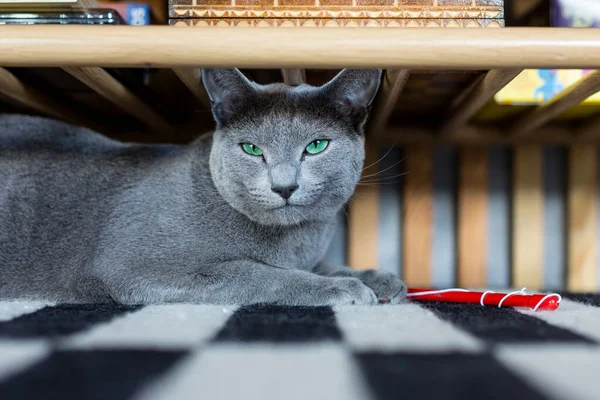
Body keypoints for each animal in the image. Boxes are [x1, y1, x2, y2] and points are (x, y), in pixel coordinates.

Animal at [0, 69, 408, 306]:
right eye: (251, 149)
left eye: (316, 146)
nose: (284, 186)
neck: (295, 241)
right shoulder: (139, 266)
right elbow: (257, 272)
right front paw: (344, 288)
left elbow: (326, 265)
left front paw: (375, 278)